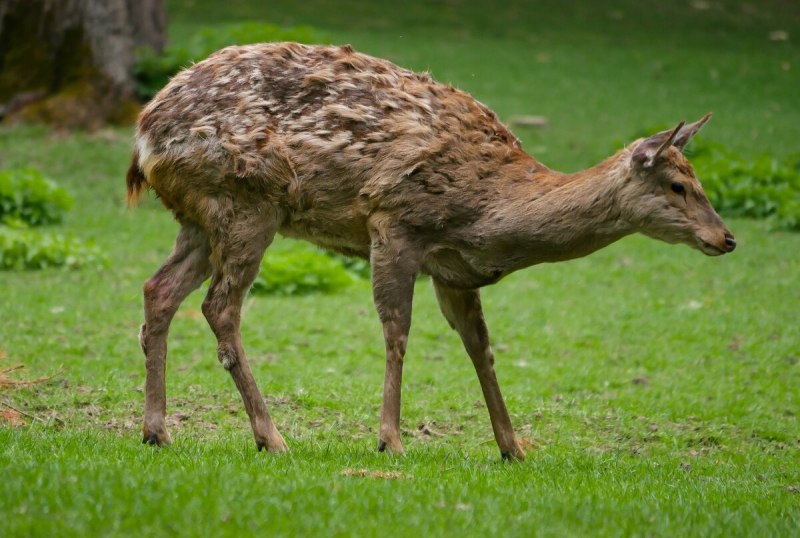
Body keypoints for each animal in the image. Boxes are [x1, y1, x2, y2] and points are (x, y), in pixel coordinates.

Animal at [126, 43, 736, 460]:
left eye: (698, 179)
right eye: (677, 185)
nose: (725, 238)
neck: (489, 215)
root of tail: (143, 138)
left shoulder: (456, 271)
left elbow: (481, 348)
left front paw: (513, 447)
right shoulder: (396, 221)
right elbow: (397, 331)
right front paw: (390, 440)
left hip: (200, 220)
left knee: (159, 288)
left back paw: (157, 430)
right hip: (247, 202)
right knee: (219, 306)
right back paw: (270, 436)